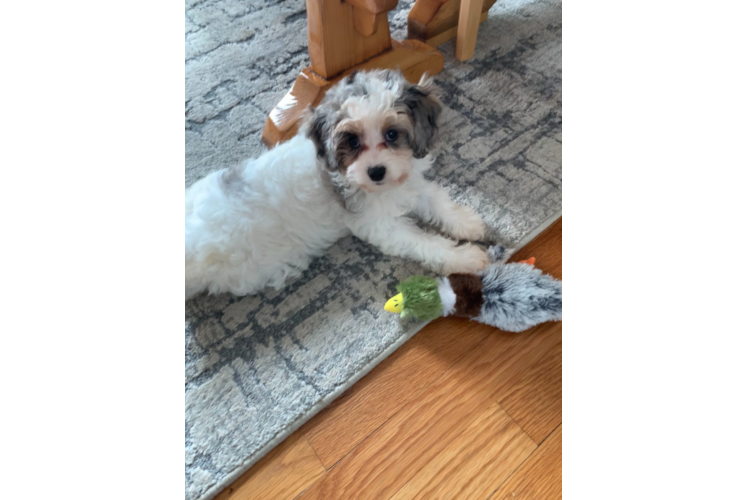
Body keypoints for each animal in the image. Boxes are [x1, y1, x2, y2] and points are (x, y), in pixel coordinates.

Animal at [186, 69, 488, 296]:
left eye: (392, 134)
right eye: (352, 141)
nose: (376, 171)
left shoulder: (409, 184)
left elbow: (436, 200)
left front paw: (467, 223)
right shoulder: (382, 227)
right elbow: (427, 242)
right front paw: (467, 258)